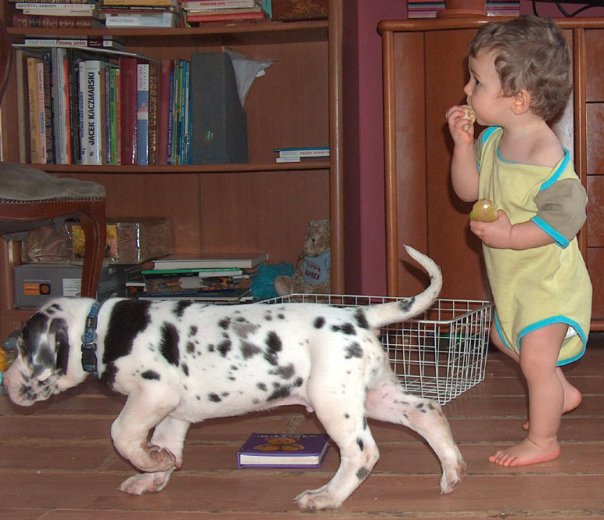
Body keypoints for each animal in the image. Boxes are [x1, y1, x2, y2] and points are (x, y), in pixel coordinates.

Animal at [3, 246, 465, 510]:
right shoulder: (174, 412)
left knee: (362, 453)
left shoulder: (152, 394)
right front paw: (156, 470)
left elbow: (121, 433)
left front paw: (146, 461)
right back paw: (451, 471)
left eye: (22, 346)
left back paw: (326, 497)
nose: (5, 384)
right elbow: (165, 444)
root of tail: (357, 314)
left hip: (332, 401)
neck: (99, 329)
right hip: (373, 395)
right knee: (427, 411)